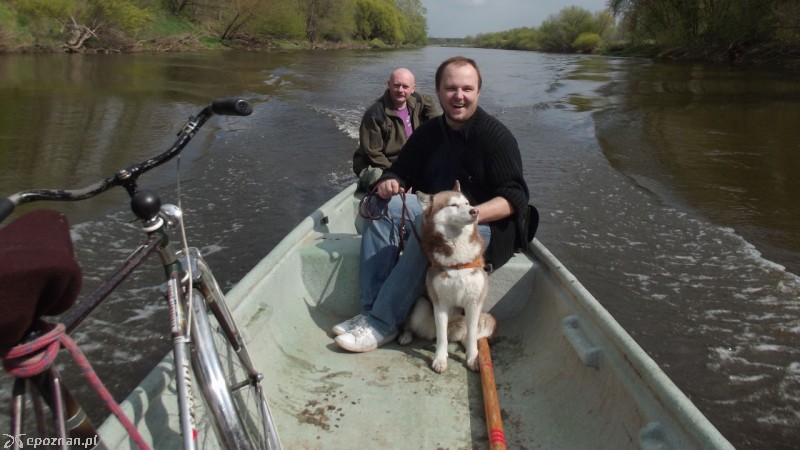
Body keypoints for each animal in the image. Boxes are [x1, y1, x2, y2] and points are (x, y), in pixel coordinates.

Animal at [404, 181, 496, 374]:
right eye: (453, 205)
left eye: (467, 203)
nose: (475, 211)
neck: (458, 261)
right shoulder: (440, 303)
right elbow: (441, 338)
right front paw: (440, 359)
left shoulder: (474, 303)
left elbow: (472, 337)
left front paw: (473, 358)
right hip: (420, 306)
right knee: (413, 325)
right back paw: (405, 335)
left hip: (485, 320)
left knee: (468, 334)